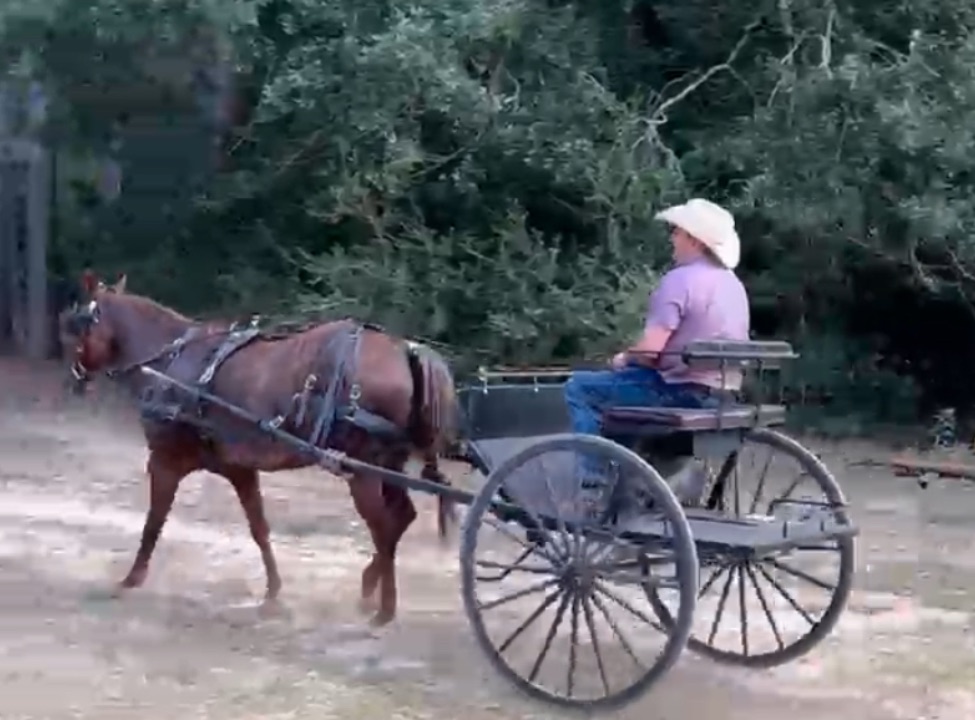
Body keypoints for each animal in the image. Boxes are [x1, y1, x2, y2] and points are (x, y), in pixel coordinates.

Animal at [60, 270, 460, 626]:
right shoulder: (239, 469)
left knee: (383, 528)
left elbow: (153, 522)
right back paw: (368, 589)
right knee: (401, 519)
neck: (171, 364)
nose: (75, 377)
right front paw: (273, 593)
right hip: (389, 464)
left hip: (362, 471)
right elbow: (259, 528)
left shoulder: (164, 460)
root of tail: (404, 349)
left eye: (78, 323)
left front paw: (131, 578)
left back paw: (384, 608)